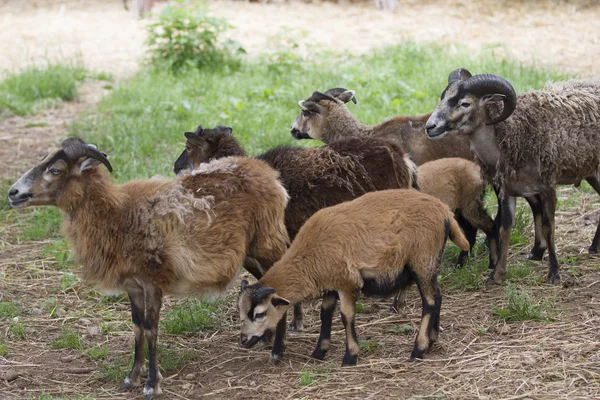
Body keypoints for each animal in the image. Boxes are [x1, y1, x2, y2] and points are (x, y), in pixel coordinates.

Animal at [7, 137, 290, 396]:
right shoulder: (133, 286)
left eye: (55, 170)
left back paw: (277, 352)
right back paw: (267, 339)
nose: (12, 193)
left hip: (266, 242)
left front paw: (152, 385)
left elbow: (152, 330)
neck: (117, 214)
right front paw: (131, 377)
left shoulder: (153, 282)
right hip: (251, 254)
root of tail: (269, 173)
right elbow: (137, 328)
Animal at [237, 189, 472, 364]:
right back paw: (432, 339)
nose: (243, 341)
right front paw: (319, 352)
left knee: (430, 302)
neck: (308, 258)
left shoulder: (346, 282)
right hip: (430, 262)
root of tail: (444, 211)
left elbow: (346, 316)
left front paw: (350, 356)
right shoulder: (330, 283)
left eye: (259, 314)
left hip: (422, 259)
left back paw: (419, 349)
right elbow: (325, 313)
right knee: (437, 296)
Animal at [424, 68, 600, 284]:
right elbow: (504, 229)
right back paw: (593, 248)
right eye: (443, 97)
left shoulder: (548, 187)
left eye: (465, 103)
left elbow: (549, 228)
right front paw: (497, 274)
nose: (430, 127)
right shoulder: (507, 190)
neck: (511, 134)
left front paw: (554, 273)